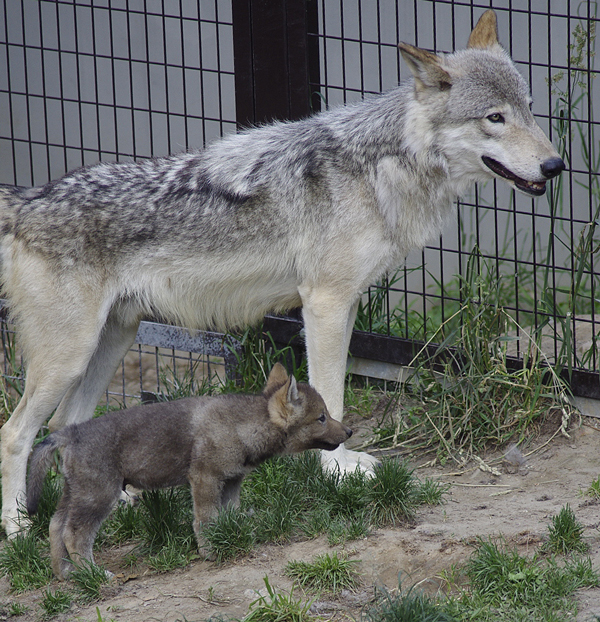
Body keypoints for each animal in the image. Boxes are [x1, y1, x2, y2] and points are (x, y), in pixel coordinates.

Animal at [1, 9, 564, 536]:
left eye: (529, 109)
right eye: (494, 117)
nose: (556, 165)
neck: (382, 166)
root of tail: (28, 199)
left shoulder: (344, 304)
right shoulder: (324, 303)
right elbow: (331, 392)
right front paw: (337, 469)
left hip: (110, 344)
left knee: (67, 424)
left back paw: (114, 503)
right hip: (69, 358)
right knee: (15, 433)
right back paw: (17, 528)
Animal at [27, 364, 352, 584]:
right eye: (322, 418)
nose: (349, 431)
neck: (243, 426)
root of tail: (71, 432)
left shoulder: (232, 481)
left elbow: (229, 516)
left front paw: (235, 537)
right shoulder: (204, 479)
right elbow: (205, 520)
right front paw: (210, 552)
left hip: (76, 494)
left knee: (55, 527)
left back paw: (65, 574)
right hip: (100, 496)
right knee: (74, 534)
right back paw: (95, 574)